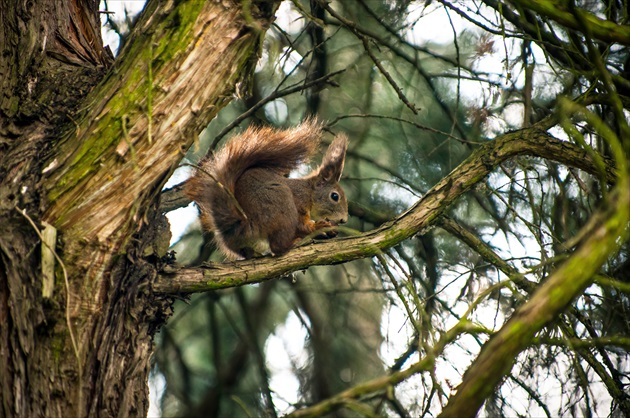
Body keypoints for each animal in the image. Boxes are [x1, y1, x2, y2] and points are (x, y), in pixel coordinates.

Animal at [185, 119, 350, 260]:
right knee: (278, 247)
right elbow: (302, 226)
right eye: (335, 196)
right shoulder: (298, 204)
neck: (308, 193)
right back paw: (293, 243)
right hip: (281, 204)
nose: (344, 220)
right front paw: (320, 226)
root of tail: (244, 226)